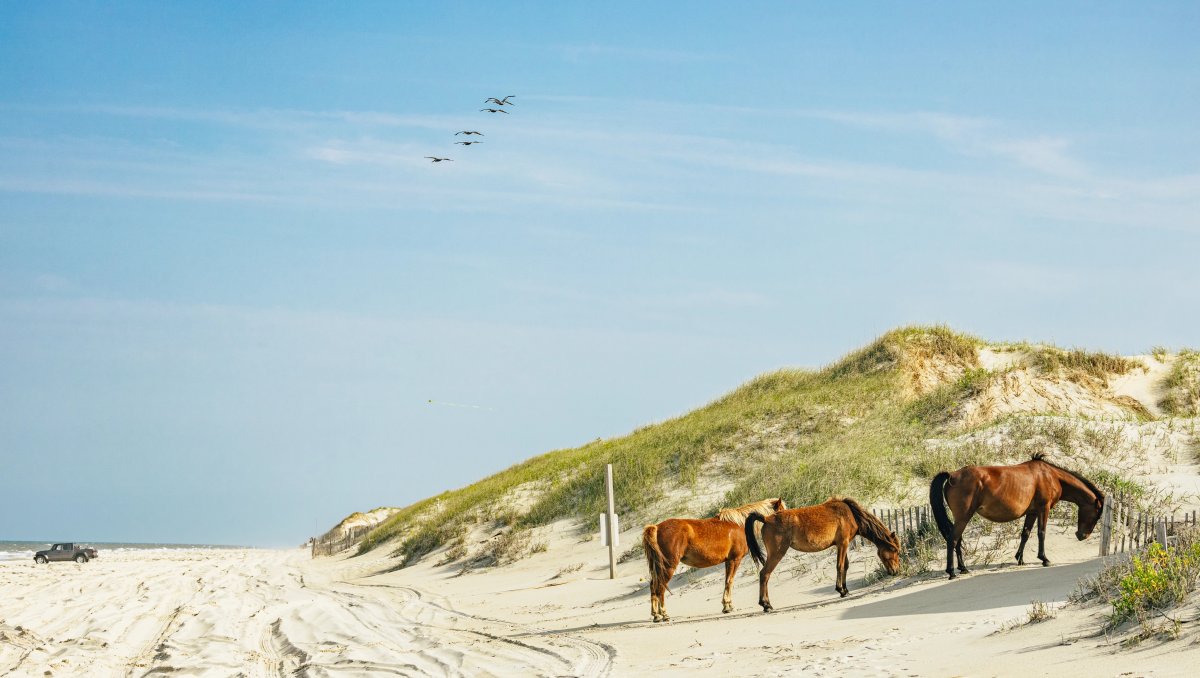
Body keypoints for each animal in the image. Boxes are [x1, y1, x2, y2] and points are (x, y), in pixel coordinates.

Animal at [638, 494, 787, 619]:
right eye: (781, 510)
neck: (740, 524)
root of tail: (656, 527)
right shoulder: (735, 559)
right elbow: (730, 581)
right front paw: (727, 606)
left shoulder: (728, 561)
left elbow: (727, 581)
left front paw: (727, 605)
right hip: (668, 566)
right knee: (660, 587)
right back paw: (664, 614)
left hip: (658, 567)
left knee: (653, 586)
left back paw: (656, 615)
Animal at [739, 494, 902, 609]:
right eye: (894, 550)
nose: (896, 571)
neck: (850, 514)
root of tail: (766, 518)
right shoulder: (843, 544)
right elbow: (840, 566)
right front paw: (840, 589)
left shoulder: (842, 545)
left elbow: (845, 566)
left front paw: (845, 590)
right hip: (777, 554)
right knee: (764, 574)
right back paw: (766, 604)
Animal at [926, 451, 1104, 578]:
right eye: (1097, 515)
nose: (1082, 536)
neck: (1050, 476)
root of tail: (952, 475)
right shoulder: (1043, 509)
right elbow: (1041, 533)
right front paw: (1044, 559)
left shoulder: (1032, 512)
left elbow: (1025, 534)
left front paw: (1020, 558)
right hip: (964, 517)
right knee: (953, 539)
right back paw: (952, 572)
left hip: (961, 518)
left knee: (957, 540)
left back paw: (963, 568)